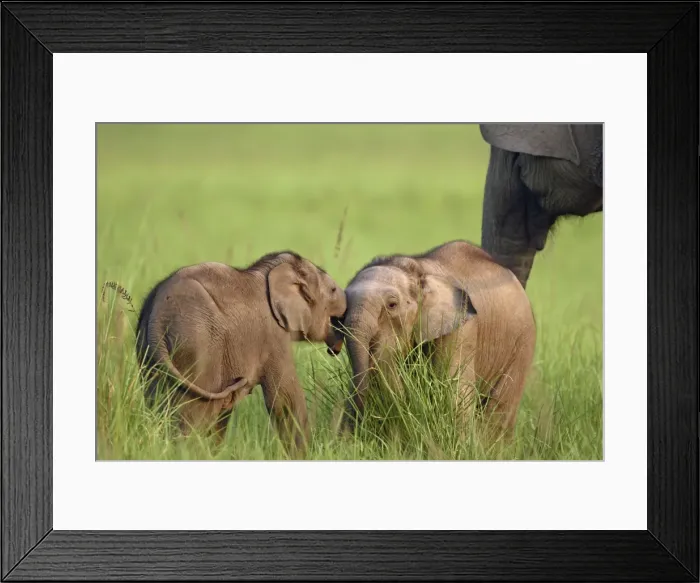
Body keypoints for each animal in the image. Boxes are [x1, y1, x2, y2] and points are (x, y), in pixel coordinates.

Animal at [135, 251, 347, 456]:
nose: (334, 349)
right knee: (195, 412)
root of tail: (158, 314)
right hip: (197, 345)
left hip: (150, 351)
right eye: (333, 290)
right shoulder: (272, 335)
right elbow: (284, 399)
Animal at [332, 239, 536, 438]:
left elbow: (456, 395)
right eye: (342, 312)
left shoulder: (462, 331)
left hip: (522, 343)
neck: (417, 271)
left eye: (392, 305)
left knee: (499, 411)